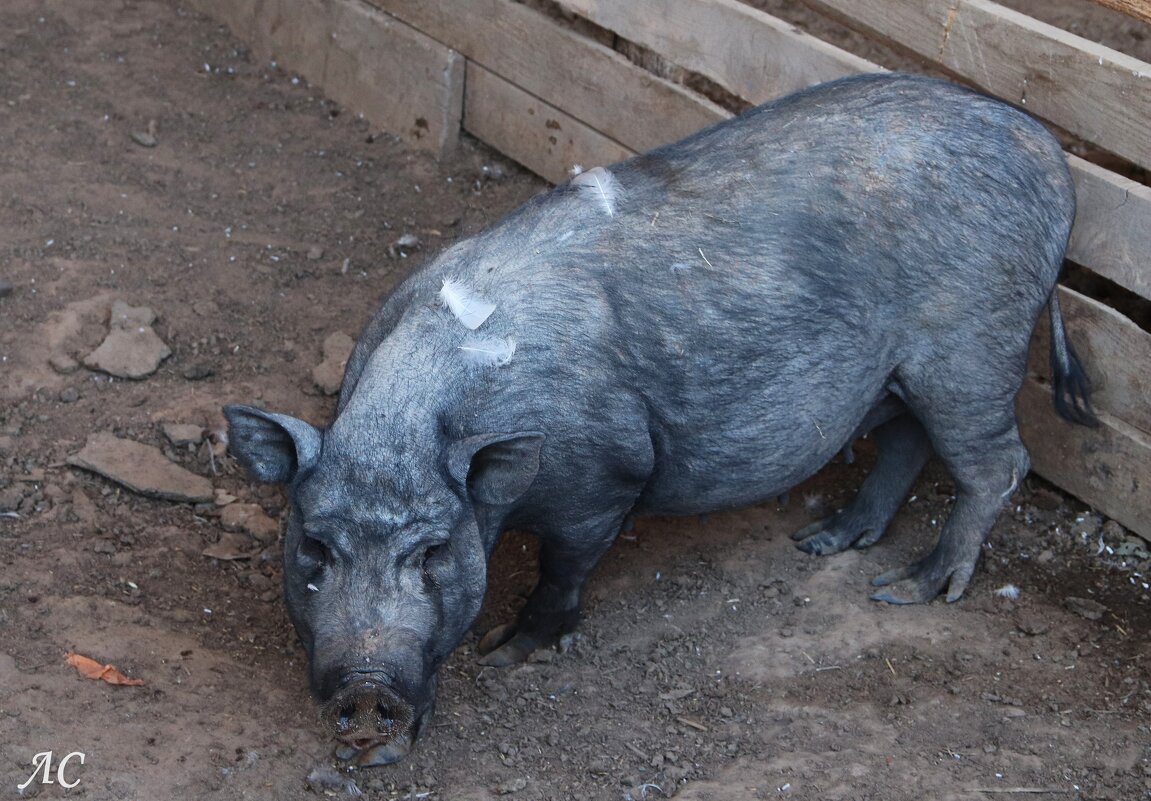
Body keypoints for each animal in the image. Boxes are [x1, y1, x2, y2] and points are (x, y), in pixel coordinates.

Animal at [219, 73, 1091, 764]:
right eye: (314, 546)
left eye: (434, 551)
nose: (366, 689)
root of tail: (1047, 148)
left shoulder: (604, 477)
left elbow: (563, 567)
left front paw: (509, 653)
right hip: (912, 368)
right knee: (908, 441)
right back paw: (825, 542)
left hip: (972, 346)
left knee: (996, 463)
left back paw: (911, 590)